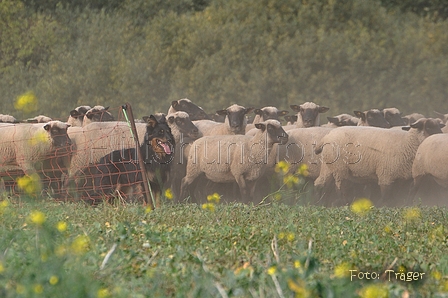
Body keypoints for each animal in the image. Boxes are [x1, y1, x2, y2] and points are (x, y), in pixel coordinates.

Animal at [316, 117, 444, 204]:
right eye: (428, 127)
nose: (441, 137)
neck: (407, 143)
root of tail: (326, 137)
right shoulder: (386, 174)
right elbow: (386, 196)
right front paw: (380, 205)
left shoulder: (403, 179)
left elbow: (399, 195)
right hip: (340, 168)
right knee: (339, 186)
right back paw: (343, 202)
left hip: (328, 166)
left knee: (321, 183)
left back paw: (321, 202)